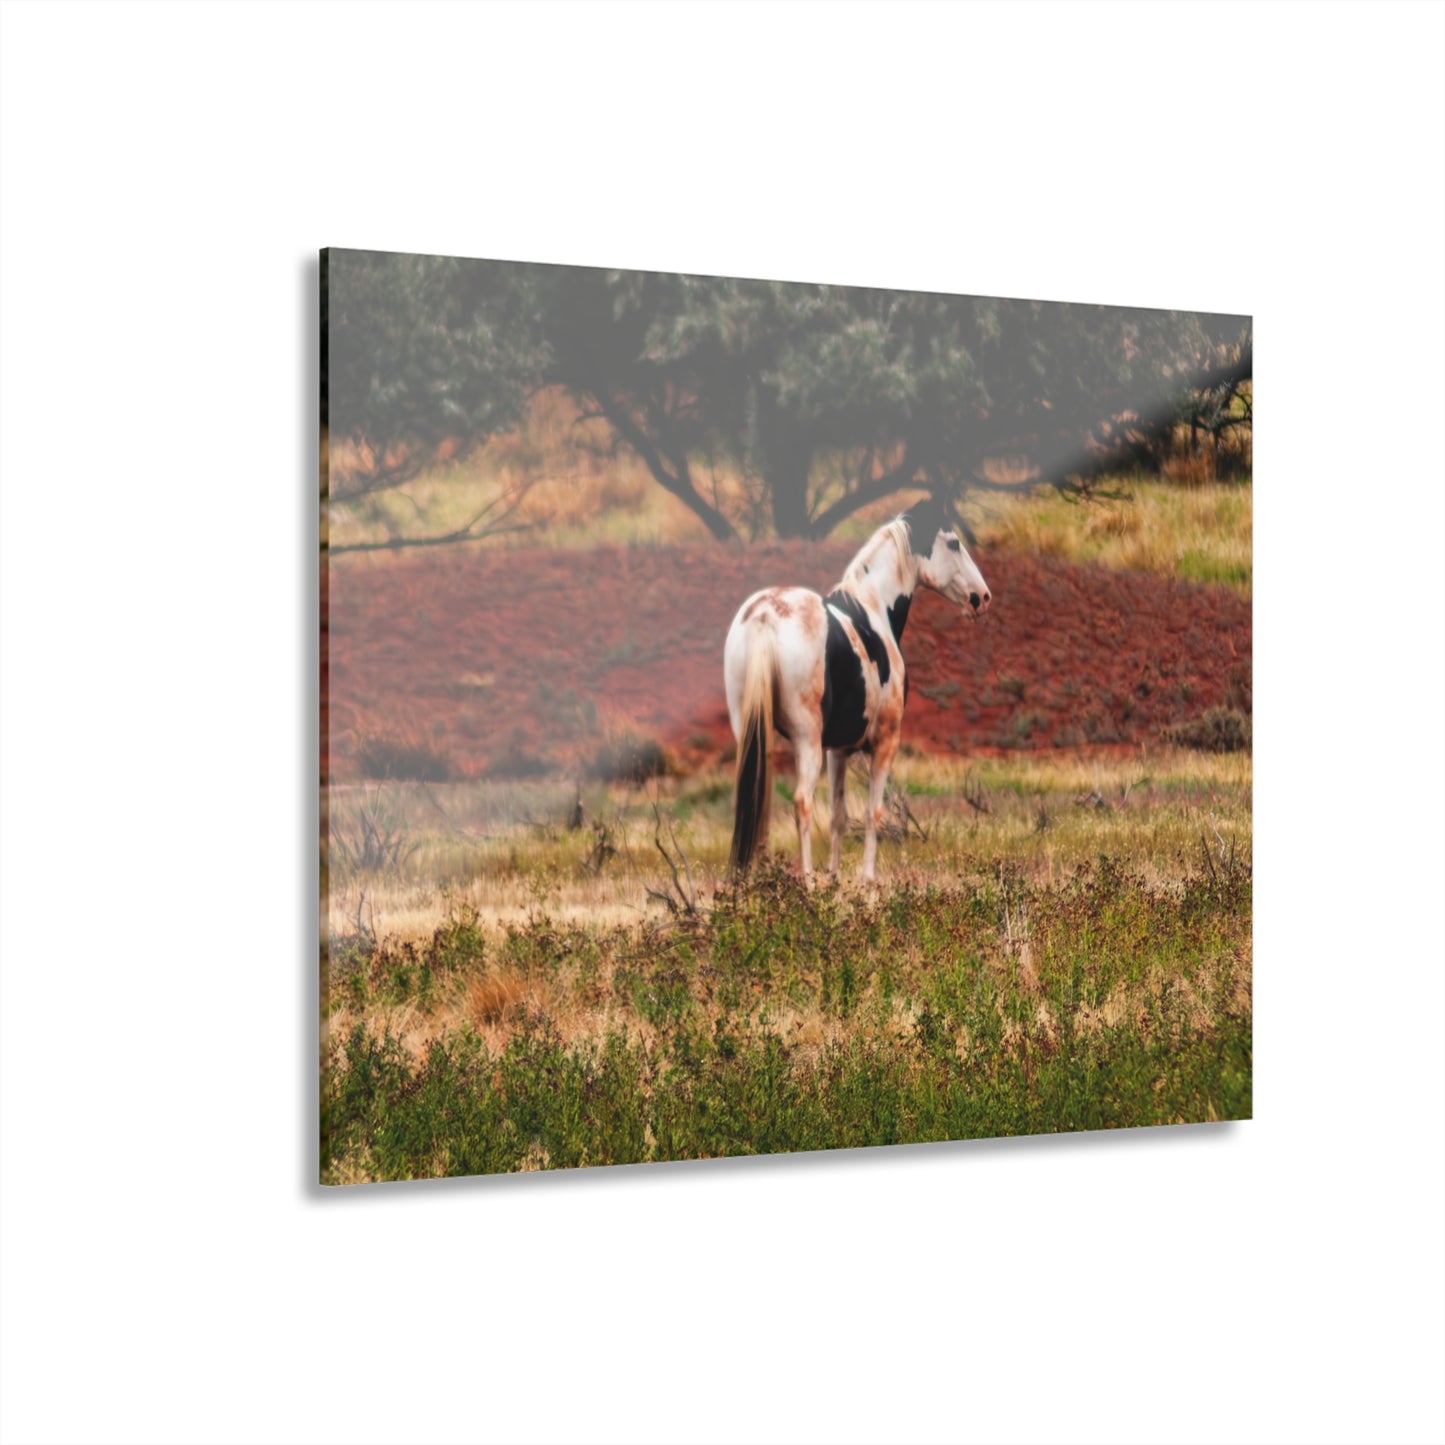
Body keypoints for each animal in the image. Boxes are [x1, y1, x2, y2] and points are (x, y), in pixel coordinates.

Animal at [723, 501, 991, 882]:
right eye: (953, 543)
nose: (982, 598)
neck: (873, 609)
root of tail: (765, 616)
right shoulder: (884, 743)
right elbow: (872, 813)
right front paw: (867, 879)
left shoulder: (838, 750)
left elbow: (838, 817)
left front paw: (835, 878)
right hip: (805, 739)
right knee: (802, 802)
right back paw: (807, 881)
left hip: (751, 732)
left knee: (755, 800)